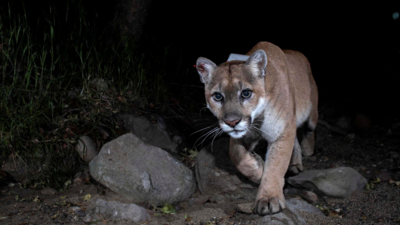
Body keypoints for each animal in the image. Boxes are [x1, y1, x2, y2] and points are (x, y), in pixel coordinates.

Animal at [195, 41, 318, 215]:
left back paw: (307, 150)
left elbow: (275, 165)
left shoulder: (282, 131)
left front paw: (269, 198)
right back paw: (294, 164)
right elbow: (236, 154)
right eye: (217, 96)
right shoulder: (244, 134)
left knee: (309, 129)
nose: (232, 122)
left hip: (311, 112)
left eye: (246, 93)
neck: (258, 118)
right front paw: (257, 169)